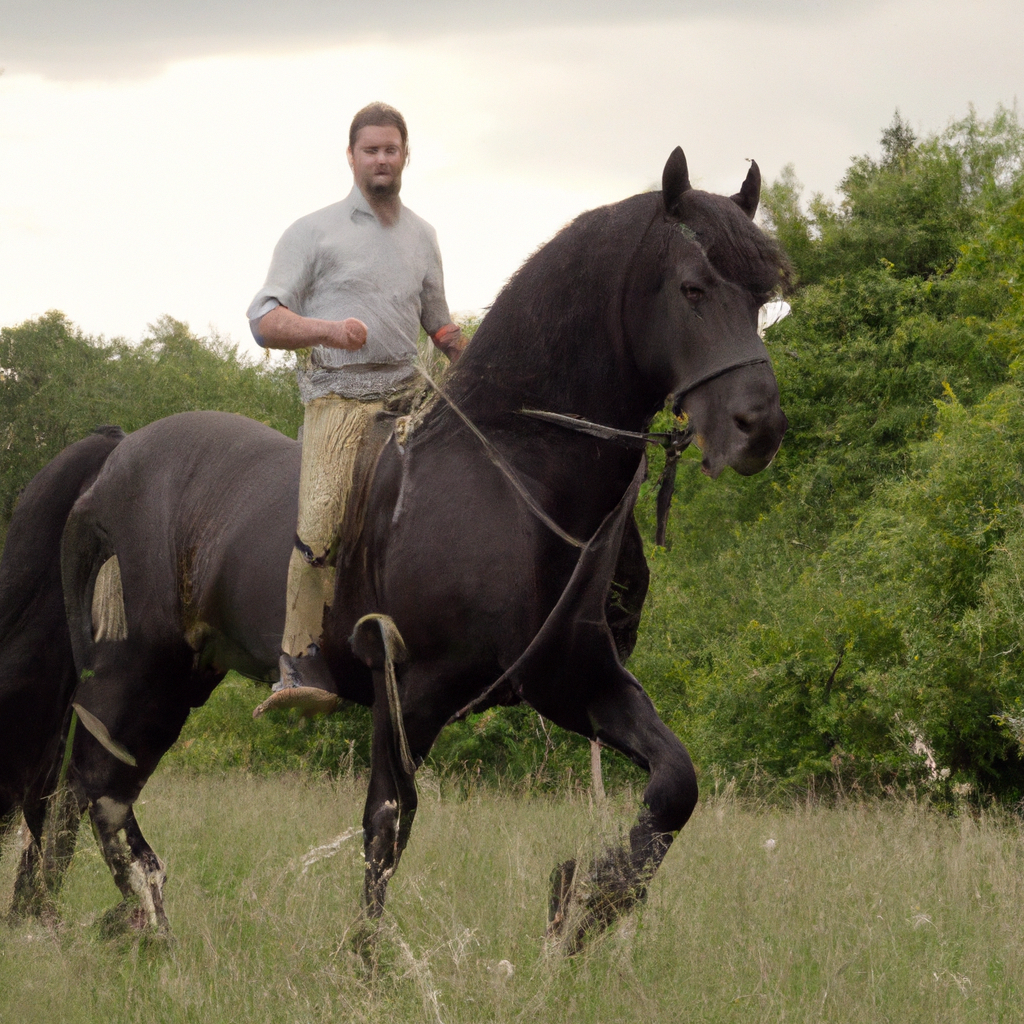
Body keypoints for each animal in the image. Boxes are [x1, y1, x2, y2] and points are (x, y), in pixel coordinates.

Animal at [54, 146, 790, 950]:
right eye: (692, 288)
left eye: (762, 298)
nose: (759, 427)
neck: (512, 480)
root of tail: (117, 455)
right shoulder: (407, 688)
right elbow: (386, 826)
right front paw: (368, 961)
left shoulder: (577, 682)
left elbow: (674, 784)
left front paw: (586, 900)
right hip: (133, 668)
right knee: (94, 788)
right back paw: (144, 917)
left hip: (181, 677)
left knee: (101, 790)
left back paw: (141, 919)